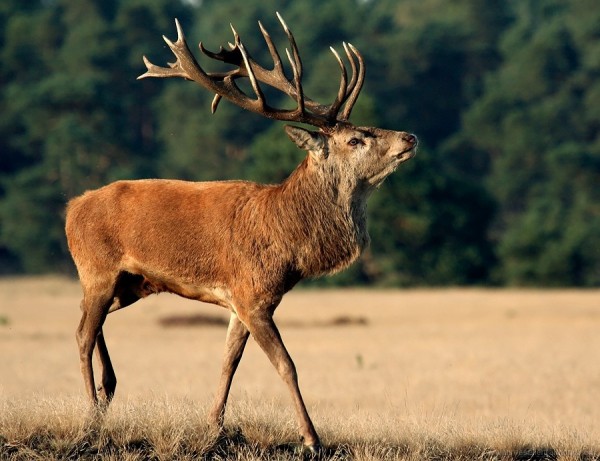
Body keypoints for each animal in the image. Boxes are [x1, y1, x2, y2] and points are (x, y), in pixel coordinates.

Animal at [63, 12, 414, 452]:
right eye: (355, 139)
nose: (409, 136)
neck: (289, 242)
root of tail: (72, 209)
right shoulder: (252, 294)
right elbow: (286, 364)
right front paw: (311, 438)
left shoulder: (245, 301)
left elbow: (229, 361)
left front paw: (214, 427)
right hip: (98, 268)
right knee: (81, 333)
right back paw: (91, 417)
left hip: (130, 284)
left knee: (88, 319)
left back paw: (107, 392)